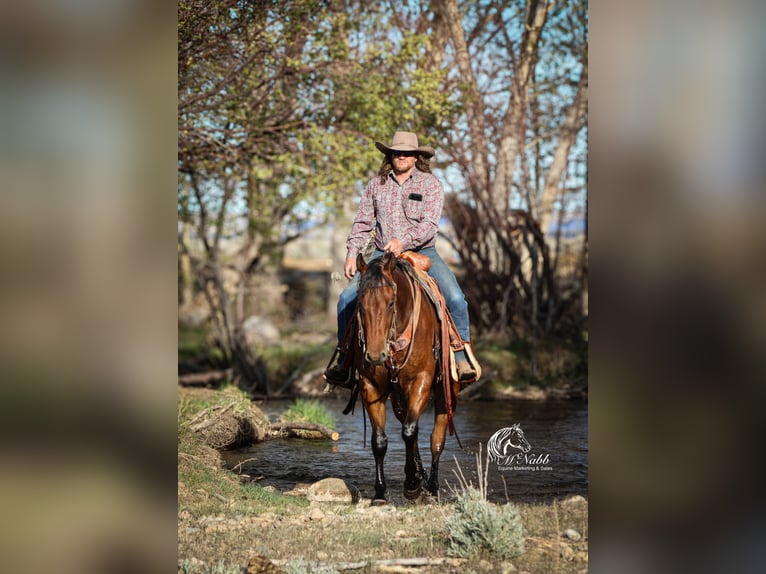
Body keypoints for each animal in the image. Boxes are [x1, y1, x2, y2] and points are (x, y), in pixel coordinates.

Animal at [352, 251, 460, 503]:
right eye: (360, 303)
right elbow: (379, 441)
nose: (375, 355)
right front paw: (380, 492)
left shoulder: (421, 380)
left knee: (436, 439)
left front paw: (411, 485)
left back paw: (431, 486)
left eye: (391, 302)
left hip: (445, 392)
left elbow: (410, 432)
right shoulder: (370, 386)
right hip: (398, 398)